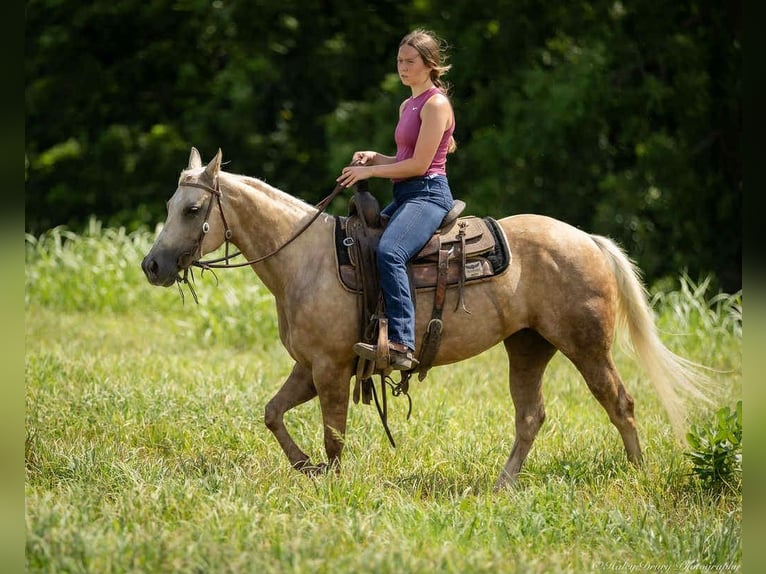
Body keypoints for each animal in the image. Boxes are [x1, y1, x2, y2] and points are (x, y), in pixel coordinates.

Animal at [141, 147, 709, 489]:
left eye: (193, 209)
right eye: (170, 203)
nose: (152, 265)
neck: (306, 260)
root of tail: (586, 239)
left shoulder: (329, 368)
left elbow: (333, 433)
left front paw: (331, 480)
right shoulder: (308, 367)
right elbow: (273, 413)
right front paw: (307, 469)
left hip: (586, 346)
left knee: (620, 403)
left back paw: (638, 475)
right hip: (528, 346)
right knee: (531, 417)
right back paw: (502, 486)